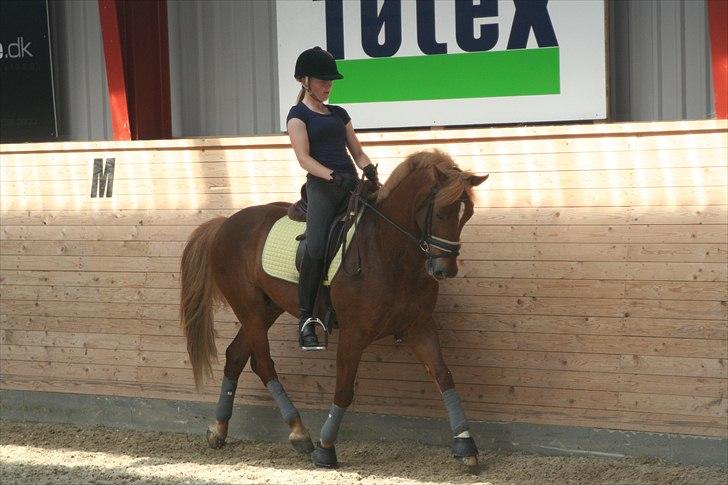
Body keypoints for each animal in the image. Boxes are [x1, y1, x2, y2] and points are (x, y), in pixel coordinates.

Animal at [181, 149, 490, 466]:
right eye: (441, 213)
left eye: (467, 215)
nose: (444, 270)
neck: (388, 250)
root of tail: (225, 223)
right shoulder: (354, 333)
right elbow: (343, 390)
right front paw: (325, 448)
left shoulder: (419, 326)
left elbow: (444, 376)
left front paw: (465, 445)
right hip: (250, 308)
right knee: (263, 363)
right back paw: (299, 432)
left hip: (265, 310)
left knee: (236, 356)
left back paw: (219, 429)